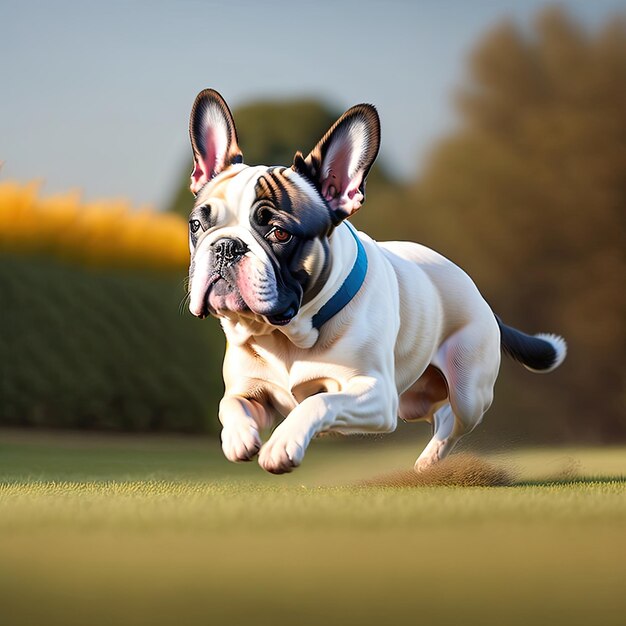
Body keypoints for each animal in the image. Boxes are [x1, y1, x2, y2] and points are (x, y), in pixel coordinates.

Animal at [185, 89, 564, 472]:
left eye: (279, 233)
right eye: (196, 225)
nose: (226, 246)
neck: (286, 334)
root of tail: (480, 295)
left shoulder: (377, 395)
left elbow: (320, 402)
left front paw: (282, 444)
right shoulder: (252, 390)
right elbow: (230, 404)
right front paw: (238, 437)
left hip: (467, 390)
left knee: (452, 417)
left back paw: (429, 460)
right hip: (414, 400)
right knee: (437, 412)